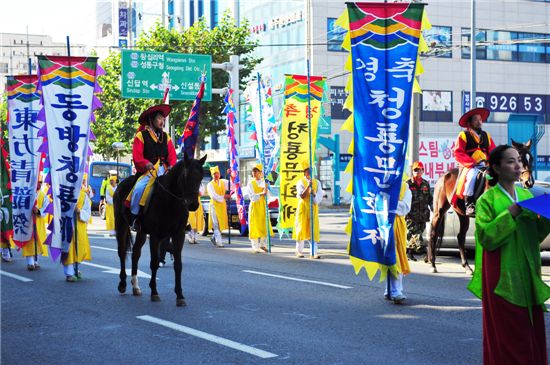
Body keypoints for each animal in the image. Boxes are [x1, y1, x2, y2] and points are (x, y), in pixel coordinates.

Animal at [113, 153, 207, 304]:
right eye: (186, 175)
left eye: (201, 176)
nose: (193, 205)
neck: (170, 201)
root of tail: (120, 183)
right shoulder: (155, 235)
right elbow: (154, 262)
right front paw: (154, 292)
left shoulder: (178, 235)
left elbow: (178, 264)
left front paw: (180, 295)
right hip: (121, 224)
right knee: (122, 252)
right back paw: (122, 284)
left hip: (141, 232)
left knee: (135, 253)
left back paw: (135, 286)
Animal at [430, 139, 536, 272]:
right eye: (520, 158)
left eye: (531, 158)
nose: (529, 182)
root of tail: (444, 175)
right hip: (439, 210)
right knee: (434, 233)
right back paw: (433, 264)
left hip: (462, 214)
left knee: (460, 236)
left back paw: (466, 266)